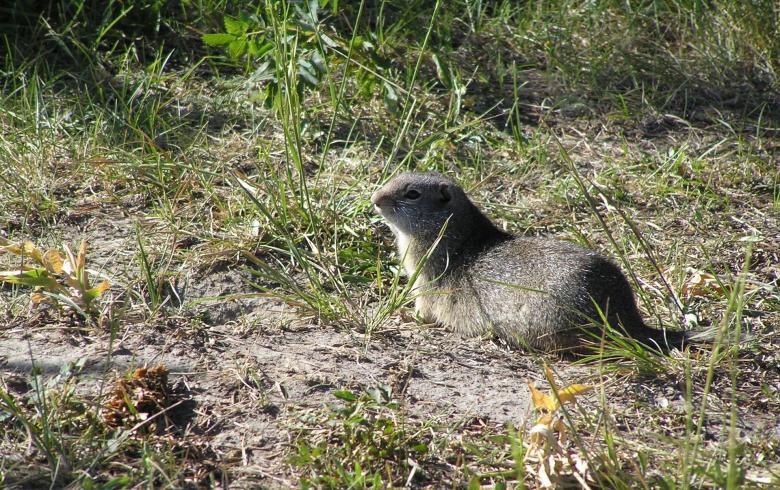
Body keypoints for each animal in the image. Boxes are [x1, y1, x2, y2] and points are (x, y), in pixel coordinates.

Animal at [371, 171, 688, 353]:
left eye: (412, 193)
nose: (374, 198)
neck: (454, 234)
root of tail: (628, 318)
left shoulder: (424, 281)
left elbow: (423, 309)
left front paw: (403, 316)